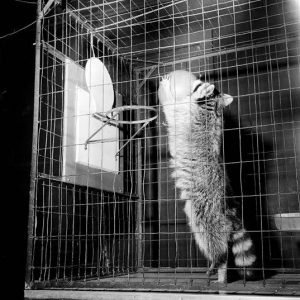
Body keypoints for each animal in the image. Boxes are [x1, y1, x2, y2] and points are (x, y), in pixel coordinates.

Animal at [157, 74, 255, 282]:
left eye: (198, 84)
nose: (200, 79)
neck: (210, 105)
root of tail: (228, 209)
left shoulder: (187, 113)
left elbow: (172, 109)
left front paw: (166, 90)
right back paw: (221, 268)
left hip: (205, 211)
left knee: (211, 236)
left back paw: (219, 260)